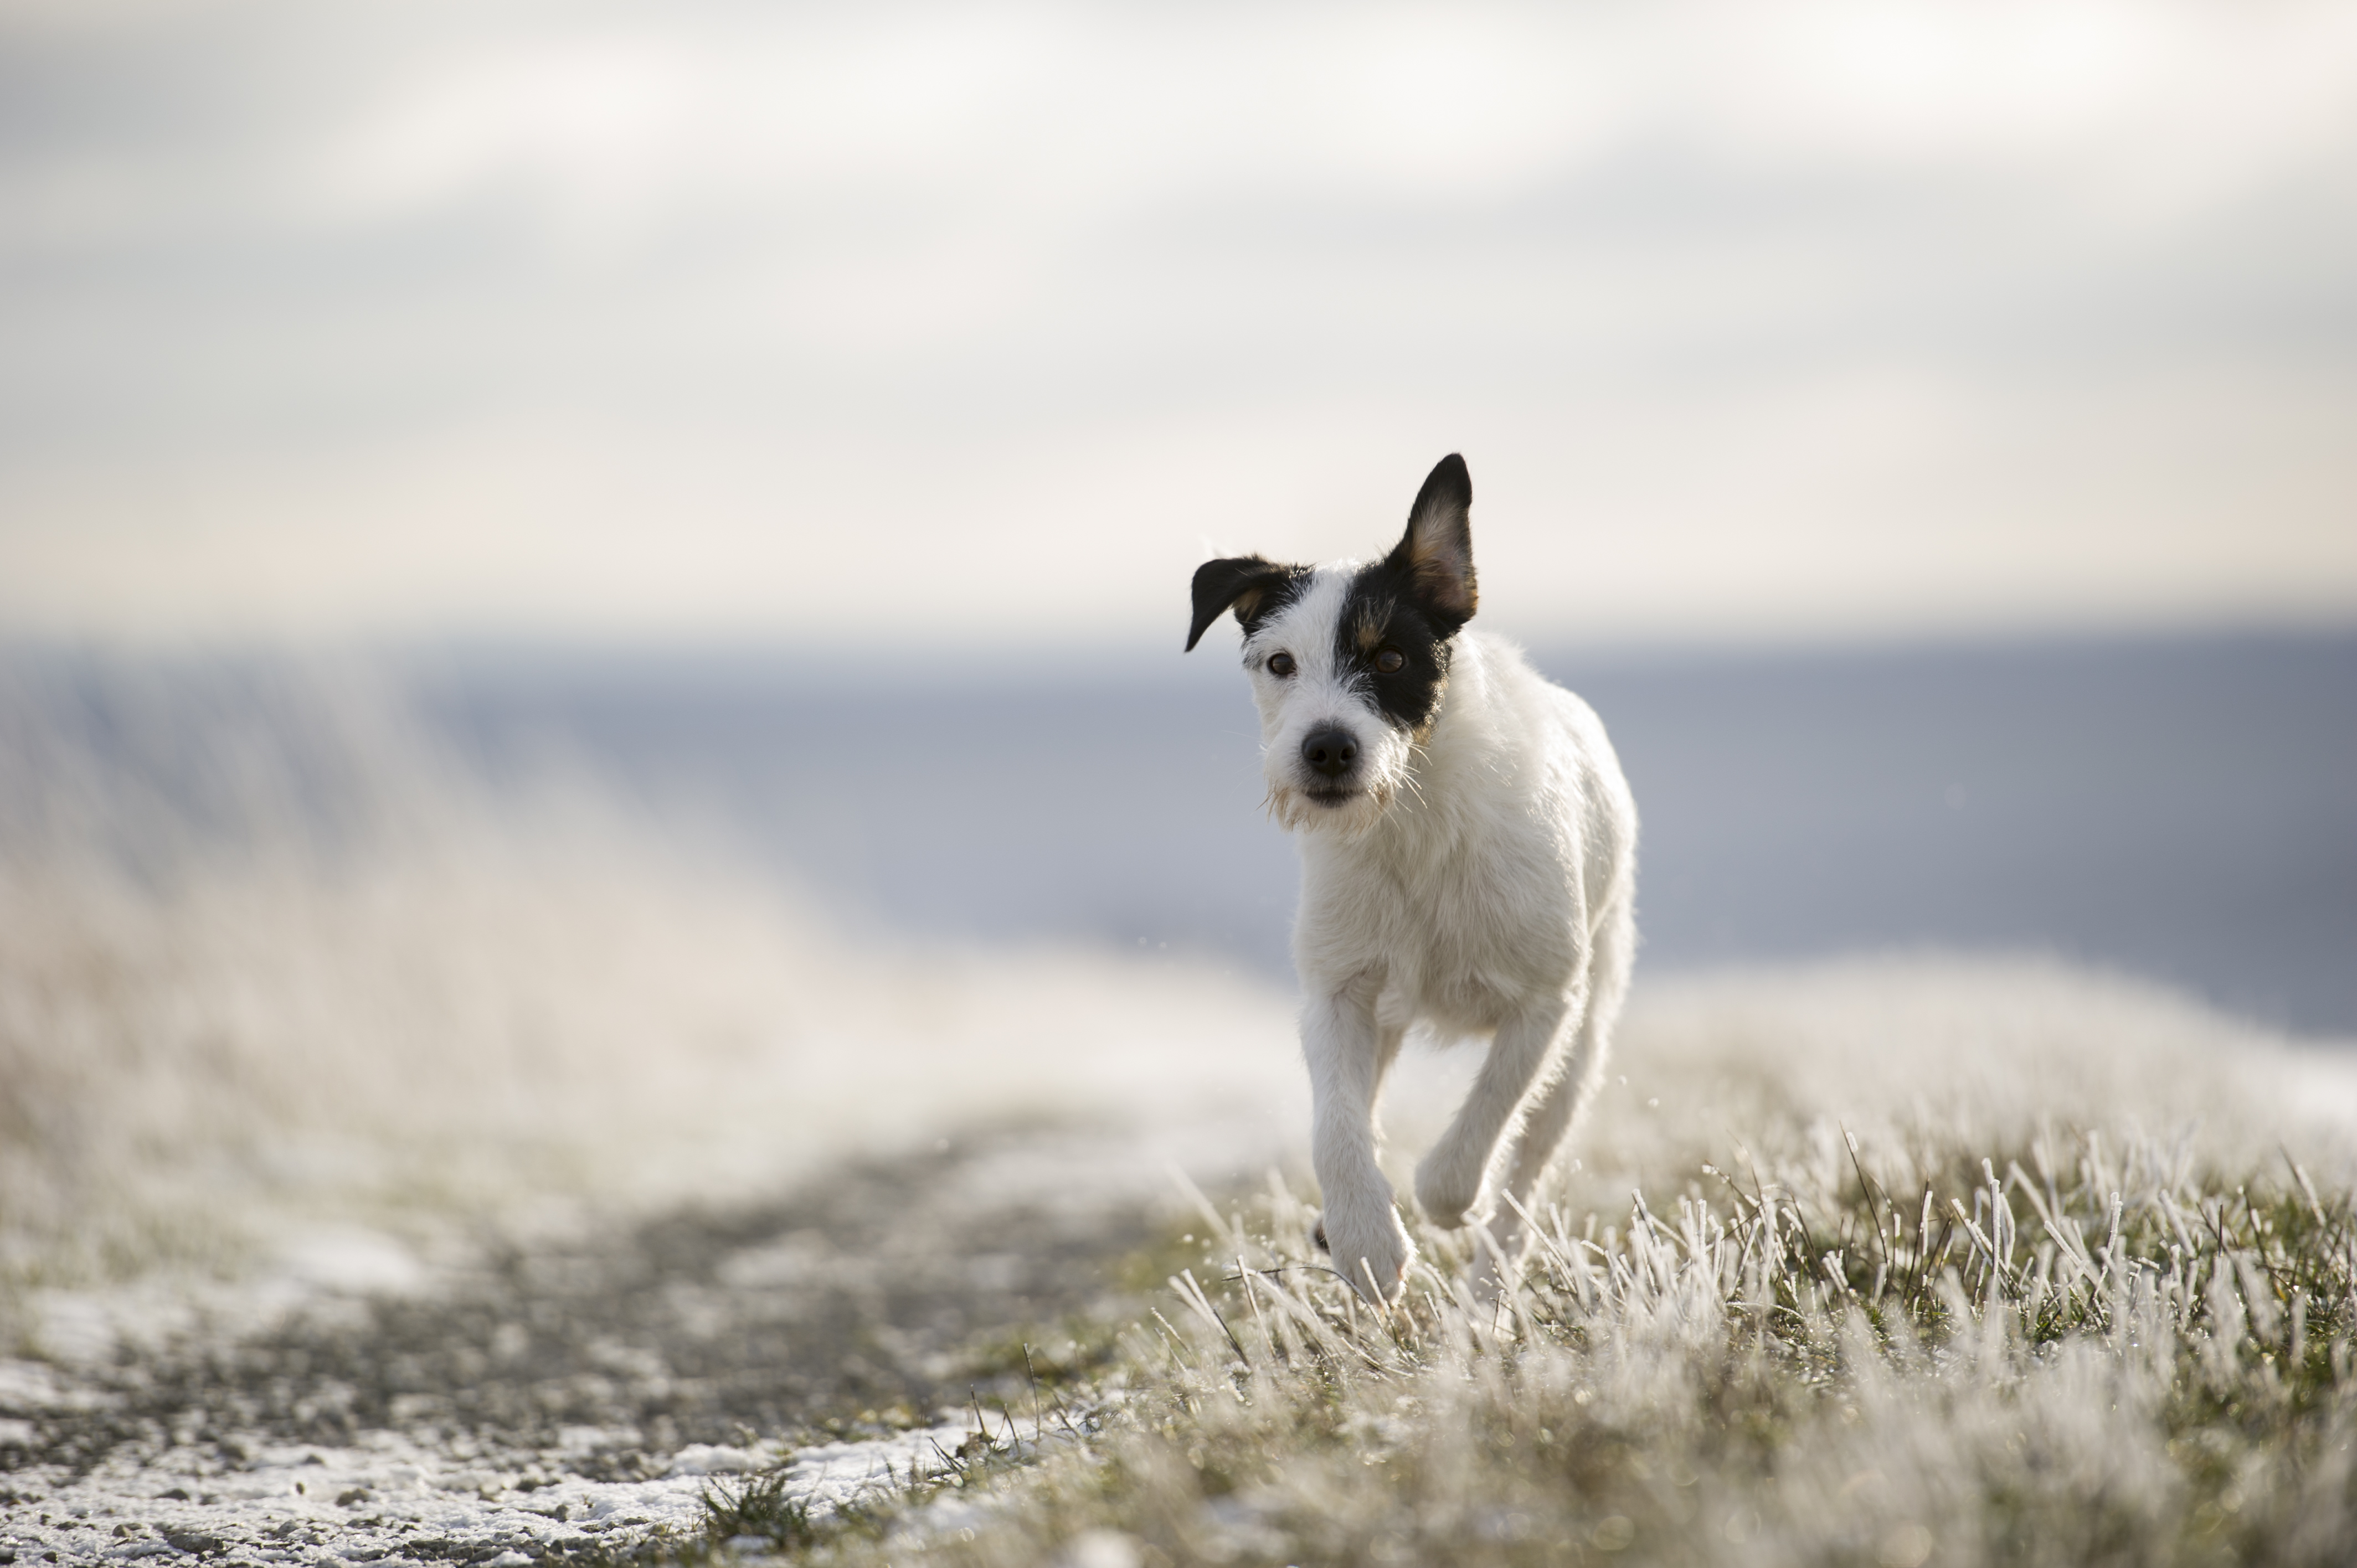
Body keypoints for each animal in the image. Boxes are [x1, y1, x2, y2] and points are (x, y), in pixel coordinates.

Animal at [1179, 460, 1640, 1301]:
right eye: (1279, 664)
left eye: (1390, 658)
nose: (1327, 749)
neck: (1412, 827)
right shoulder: (1338, 992)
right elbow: (1335, 1123)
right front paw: (1364, 1237)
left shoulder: (1544, 1006)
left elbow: (1482, 1124)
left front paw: (1444, 1200)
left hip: (1584, 1040)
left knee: (1523, 1180)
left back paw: (1487, 1295)